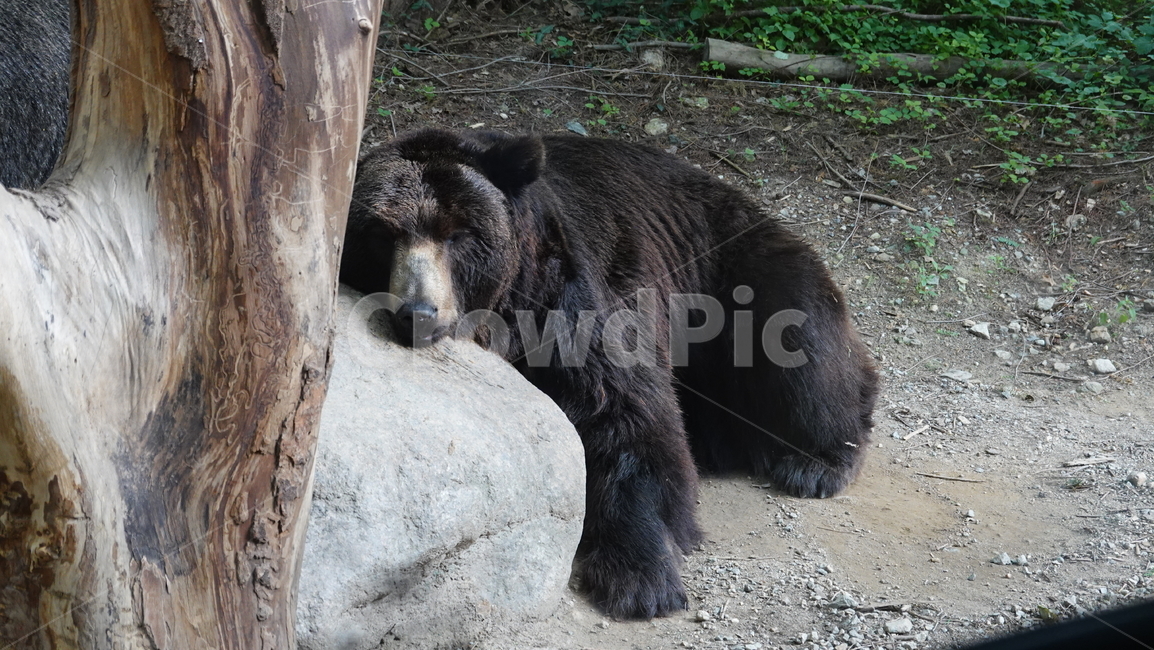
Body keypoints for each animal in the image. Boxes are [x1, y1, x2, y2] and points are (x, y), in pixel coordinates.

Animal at [340, 129, 879, 620]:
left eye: (458, 233)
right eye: (381, 234)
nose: (418, 312)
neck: (503, 317)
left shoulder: (571, 302)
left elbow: (624, 419)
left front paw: (640, 578)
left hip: (732, 269)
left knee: (798, 341)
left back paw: (817, 461)